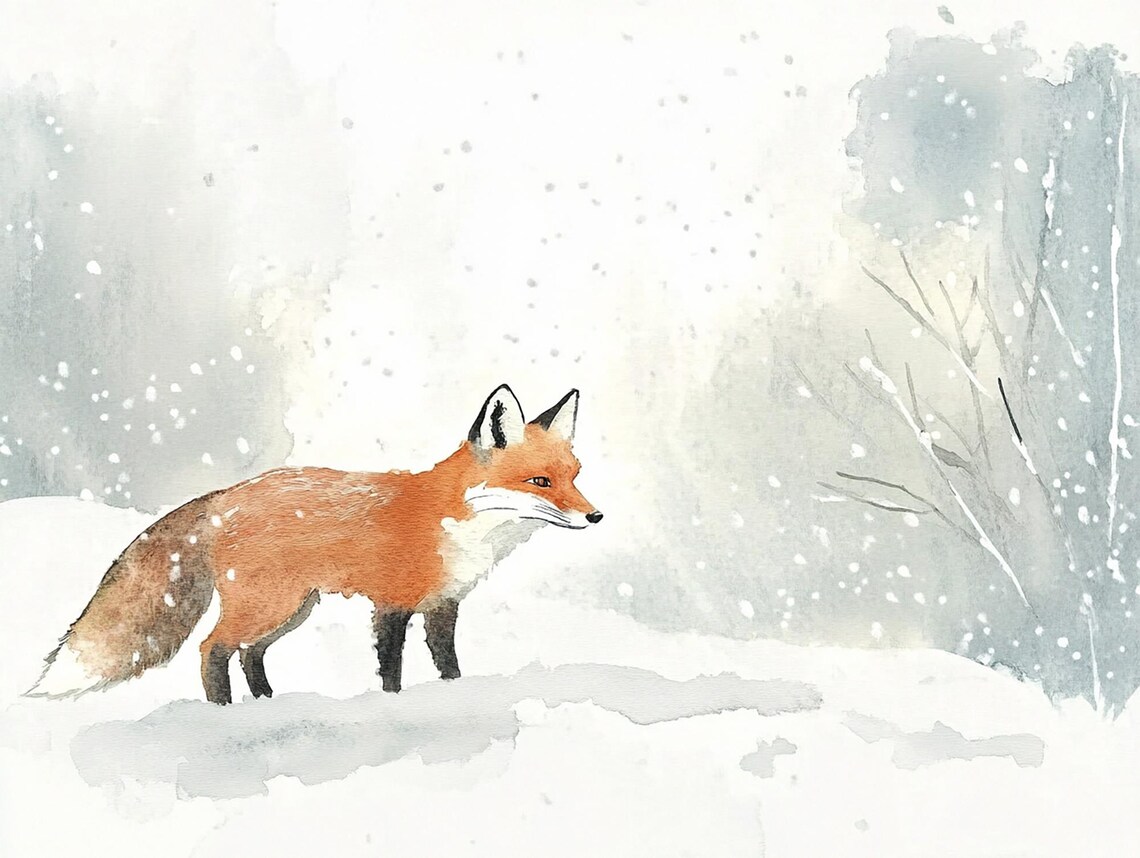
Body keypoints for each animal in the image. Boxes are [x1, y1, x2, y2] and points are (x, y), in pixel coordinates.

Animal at [26, 384, 602, 705]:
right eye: (540, 483)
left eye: (574, 476)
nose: (595, 516)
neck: (455, 521)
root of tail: (224, 496)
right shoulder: (391, 604)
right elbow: (391, 670)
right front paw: (393, 708)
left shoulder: (443, 605)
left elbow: (449, 665)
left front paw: (456, 695)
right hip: (270, 605)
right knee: (214, 649)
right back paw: (226, 714)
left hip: (293, 609)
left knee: (249, 655)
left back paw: (269, 705)